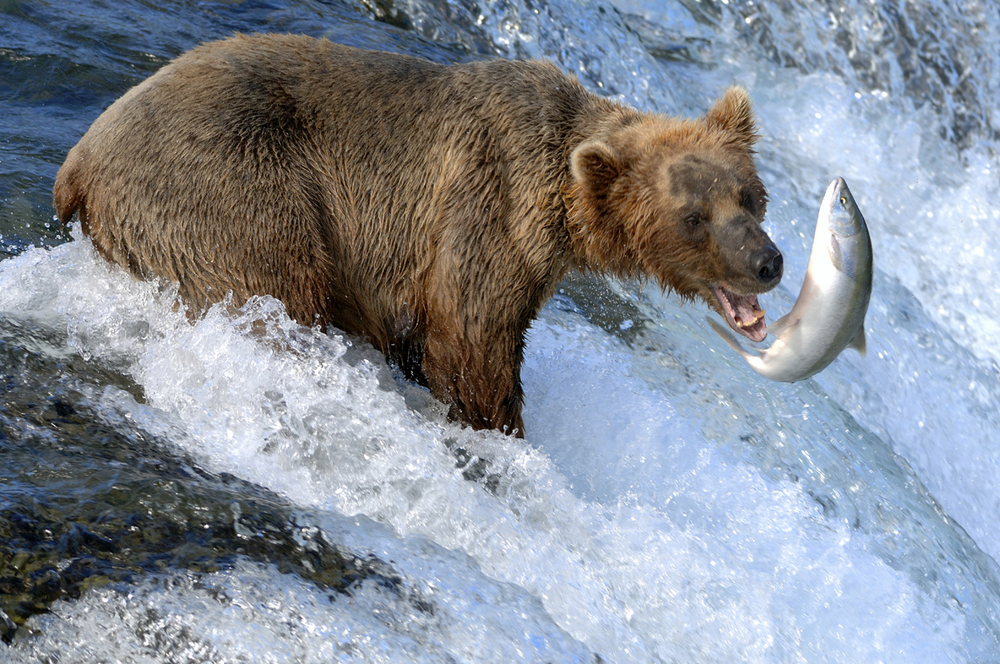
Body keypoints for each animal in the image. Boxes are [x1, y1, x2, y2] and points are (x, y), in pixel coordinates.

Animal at [54, 32, 784, 436]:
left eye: (751, 196)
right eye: (694, 217)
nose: (768, 262)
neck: (560, 207)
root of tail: (79, 161)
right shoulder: (482, 209)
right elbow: (470, 343)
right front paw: (497, 429)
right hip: (231, 180)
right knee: (269, 289)